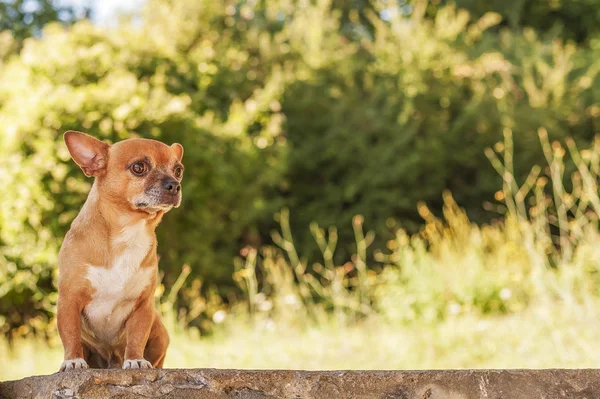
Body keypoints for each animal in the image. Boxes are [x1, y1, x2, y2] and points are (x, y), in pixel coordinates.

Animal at [59, 132, 185, 372]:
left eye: (178, 170)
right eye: (139, 167)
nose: (174, 185)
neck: (128, 233)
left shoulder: (143, 306)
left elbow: (137, 336)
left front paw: (135, 360)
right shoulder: (69, 300)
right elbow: (70, 334)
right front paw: (73, 360)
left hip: (160, 333)